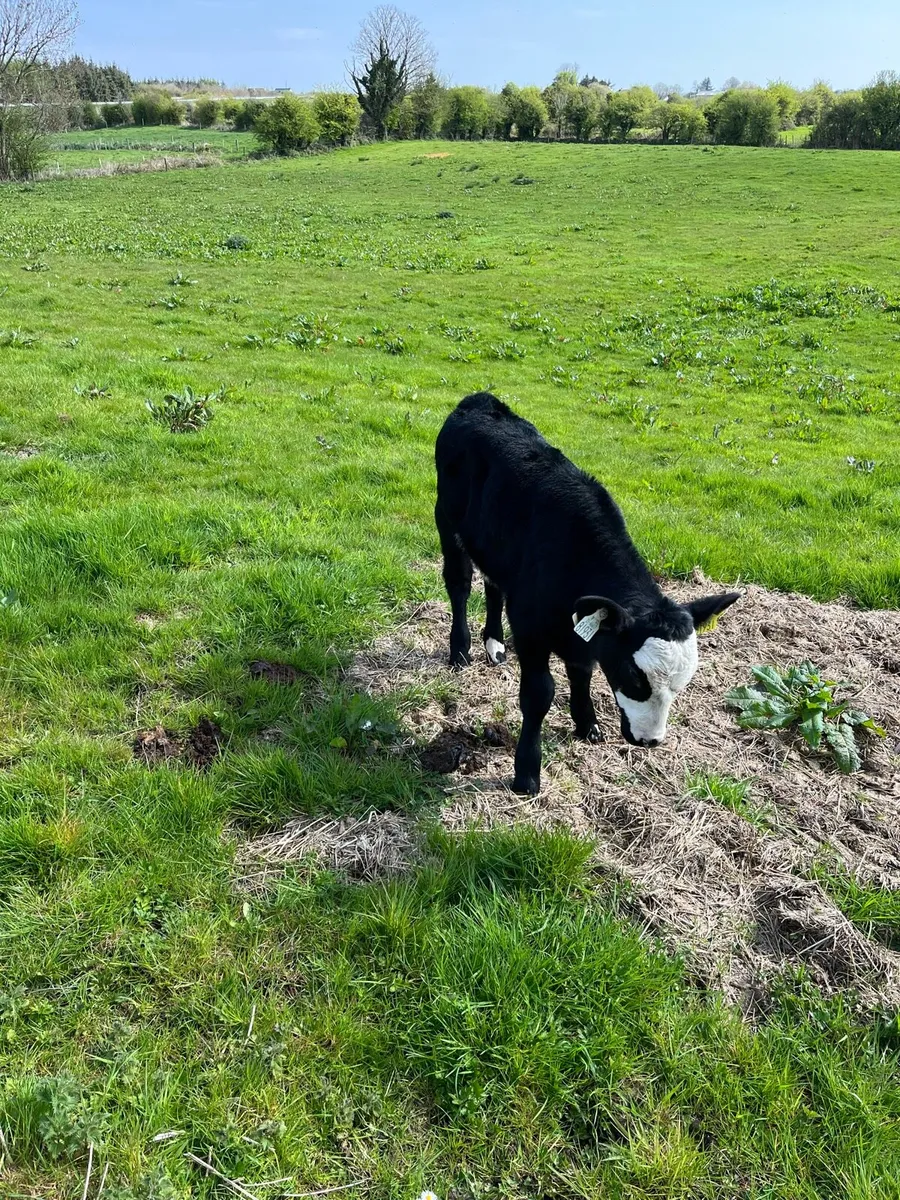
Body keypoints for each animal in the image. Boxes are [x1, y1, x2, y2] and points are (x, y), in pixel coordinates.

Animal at [434, 392, 740, 795]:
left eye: (682, 682)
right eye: (633, 675)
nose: (649, 740)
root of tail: (480, 400)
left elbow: (582, 671)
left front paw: (586, 723)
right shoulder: (530, 626)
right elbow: (539, 694)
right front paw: (526, 773)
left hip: (493, 545)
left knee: (493, 584)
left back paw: (495, 644)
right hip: (446, 519)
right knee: (459, 583)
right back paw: (460, 650)